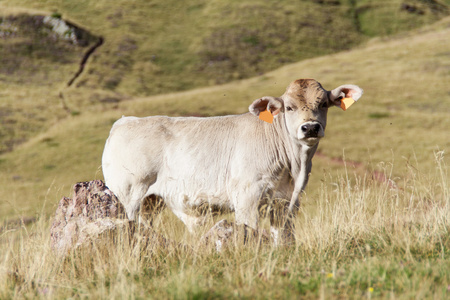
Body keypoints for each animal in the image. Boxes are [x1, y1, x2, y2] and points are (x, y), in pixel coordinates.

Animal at [102, 79, 362, 244]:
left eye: (323, 104)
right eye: (289, 107)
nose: (310, 128)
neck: (294, 167)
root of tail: (125, 121)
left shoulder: (286, 203)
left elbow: (285, 239)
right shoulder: (247, 197)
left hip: (150, 203)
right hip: (128, 195)